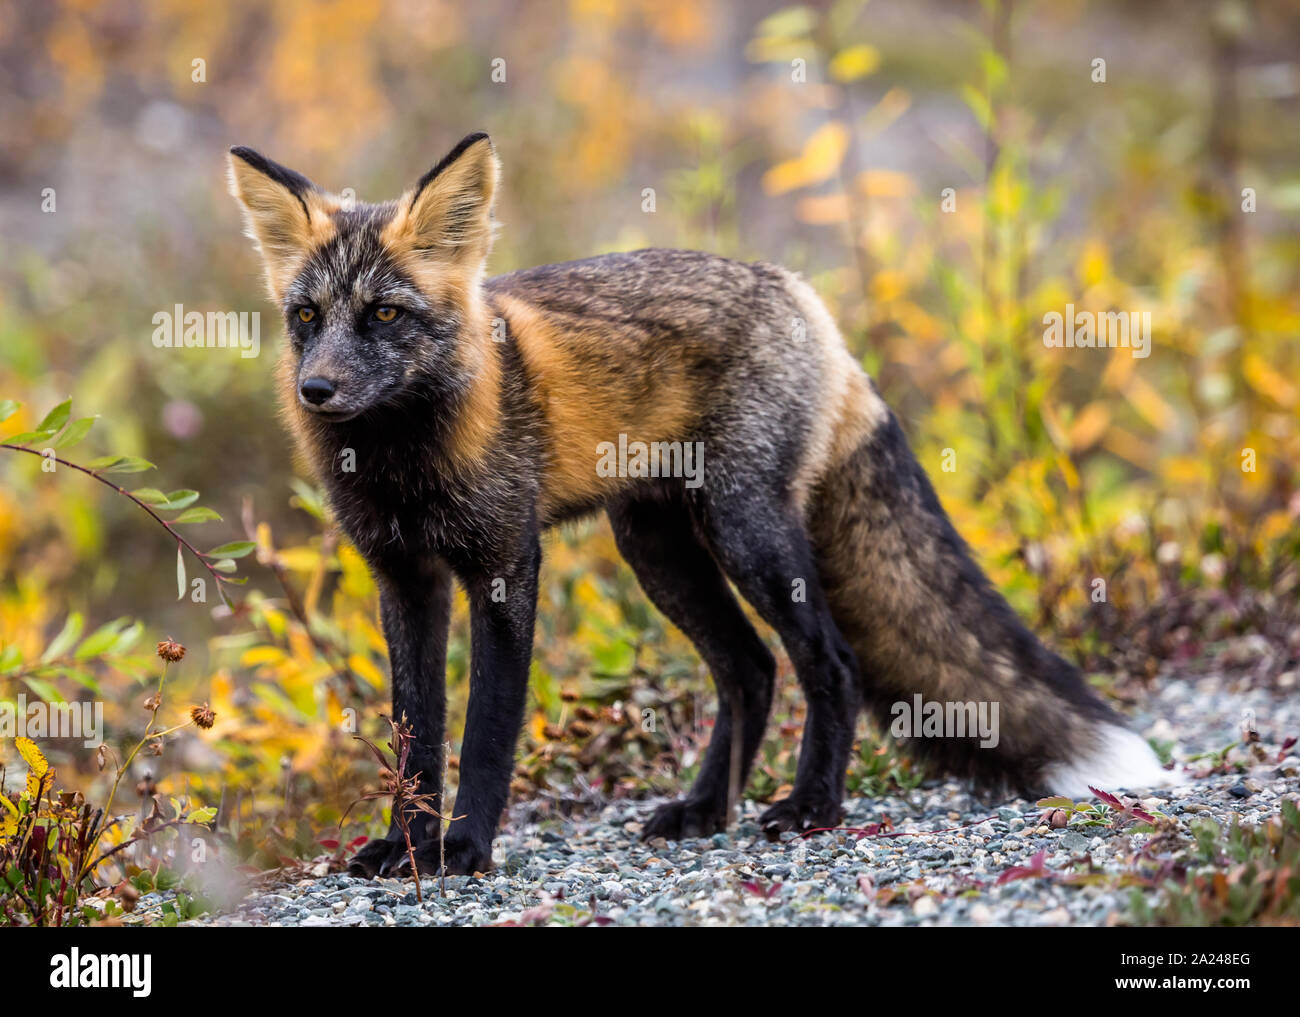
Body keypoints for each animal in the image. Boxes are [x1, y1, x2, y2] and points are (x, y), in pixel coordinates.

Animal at [228, 129, 1175, 873]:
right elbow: (414, 735)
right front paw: (406, 847)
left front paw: (462, 850)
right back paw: (705, 810)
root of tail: (799, 293)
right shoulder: (404, 578)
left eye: (385, 315)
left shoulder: (504, 566)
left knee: (829, 661)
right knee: (750, 668)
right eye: (307, 316)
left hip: (745, 530)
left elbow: (486, 731)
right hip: (657, 549)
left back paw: (811, 806)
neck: (405, 461)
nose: (317, 390)